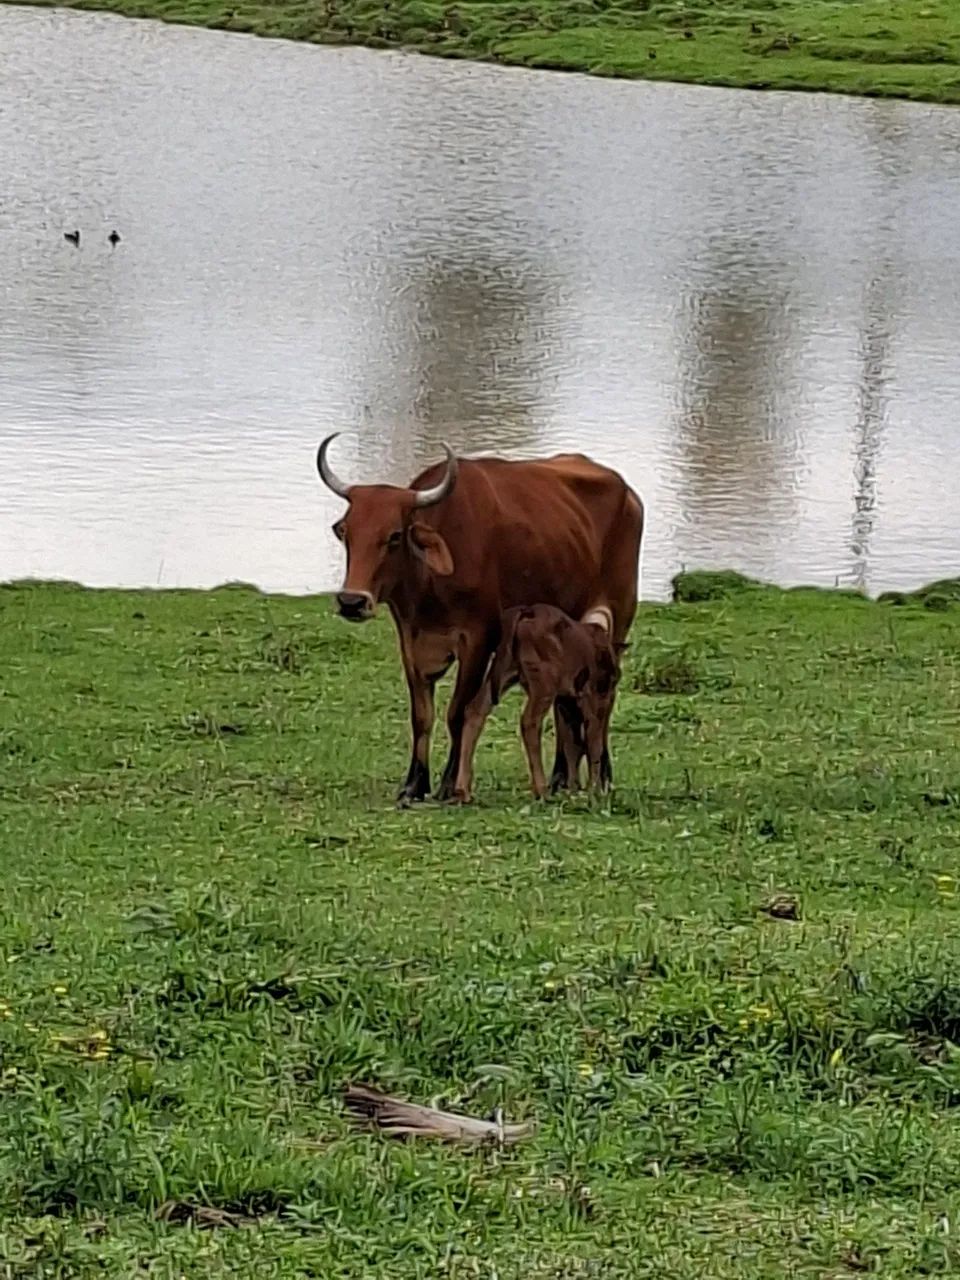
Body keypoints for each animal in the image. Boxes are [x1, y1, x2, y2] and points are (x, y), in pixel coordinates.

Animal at [481, 604, 625, 798]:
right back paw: (541, 788)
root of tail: (527, 611)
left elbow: (573, 745)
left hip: (502, 674)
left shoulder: (566, 702)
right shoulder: (594, 699)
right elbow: (593, 744)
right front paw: (593, 790)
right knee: (530, 722)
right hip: (543, 686)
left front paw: (573, 789)